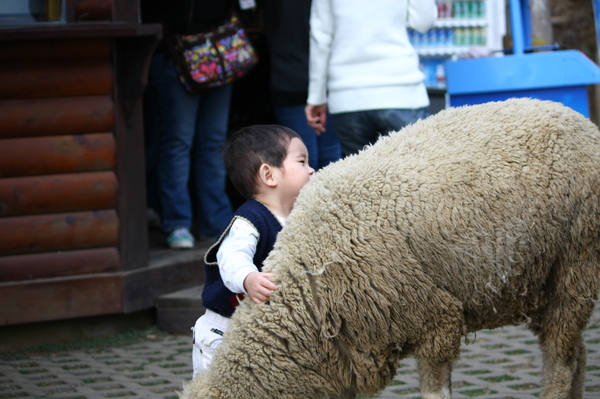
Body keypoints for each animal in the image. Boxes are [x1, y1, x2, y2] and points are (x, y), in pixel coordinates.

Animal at [180, 97, 600, 399]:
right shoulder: (350, 358)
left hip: (577, 262)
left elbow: (435, 392)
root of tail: (579, 119)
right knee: (575, 353)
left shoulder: (437, 320)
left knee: (561, 362)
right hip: (547, 279)